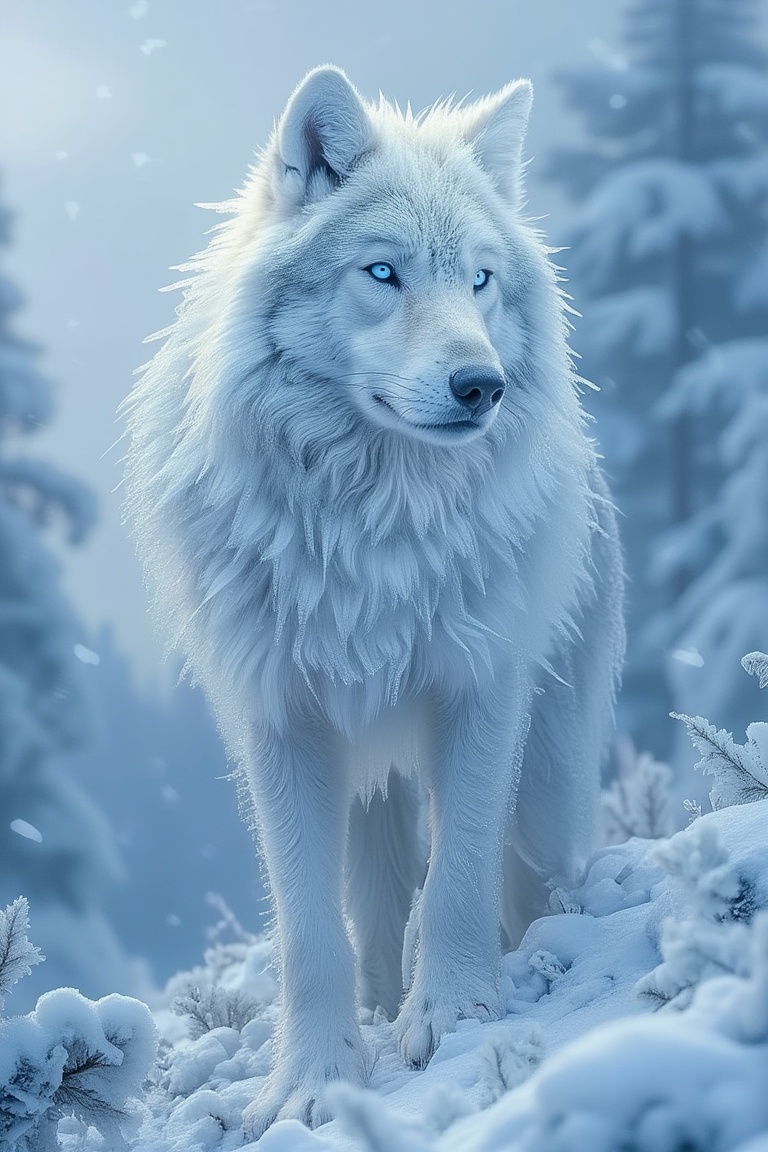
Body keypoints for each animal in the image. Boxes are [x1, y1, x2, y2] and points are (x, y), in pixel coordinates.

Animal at [122, 65, 624, 1135]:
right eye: (384, 273)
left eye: (479, 279)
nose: (481, 384)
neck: (375, 526)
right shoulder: (282, 722)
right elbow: (309, 932)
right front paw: (312, 1083)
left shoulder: (481, 689)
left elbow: (461, 874)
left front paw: (460, 1017)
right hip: (369, 786)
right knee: (379, 907)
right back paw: (382, 1009)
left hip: (551, 776)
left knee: (527, 877)